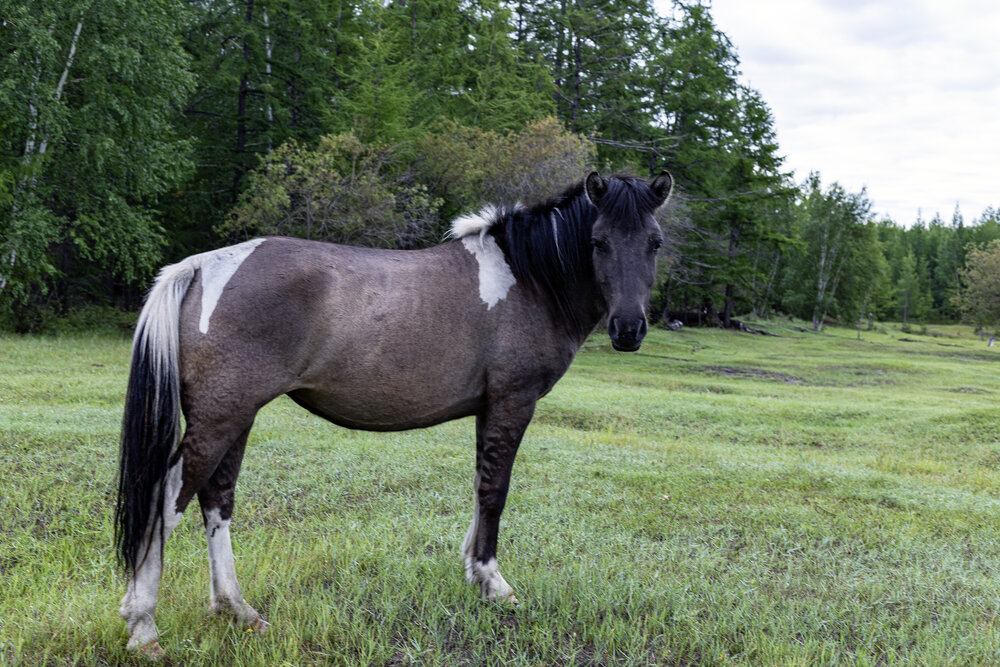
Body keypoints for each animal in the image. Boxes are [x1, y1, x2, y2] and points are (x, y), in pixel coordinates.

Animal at [114, 170, 673, 657]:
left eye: (655, 242)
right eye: (597, 241)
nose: (628, 329)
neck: (527, 279)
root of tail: (200, 267)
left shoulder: (488, 409)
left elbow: (479, 485)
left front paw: (472, 571)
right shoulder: (513, 401)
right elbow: (496, 491)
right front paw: (494, 583)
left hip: (237, 416)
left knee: (217, 500)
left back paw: (237, 610)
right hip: (219, 418)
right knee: (168, 500)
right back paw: (144, 628)